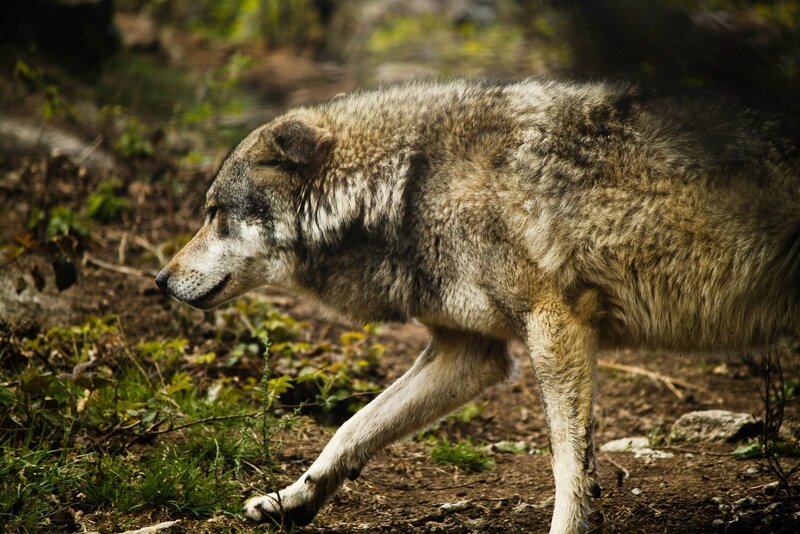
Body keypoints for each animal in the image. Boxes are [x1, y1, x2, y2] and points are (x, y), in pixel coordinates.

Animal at [155, 79, 800, 533]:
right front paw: (292, 502)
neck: (410, 184)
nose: (161, 279)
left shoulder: (556, 324)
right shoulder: (471, 351)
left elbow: (568, 464)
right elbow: (352, 428)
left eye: (214, 212)